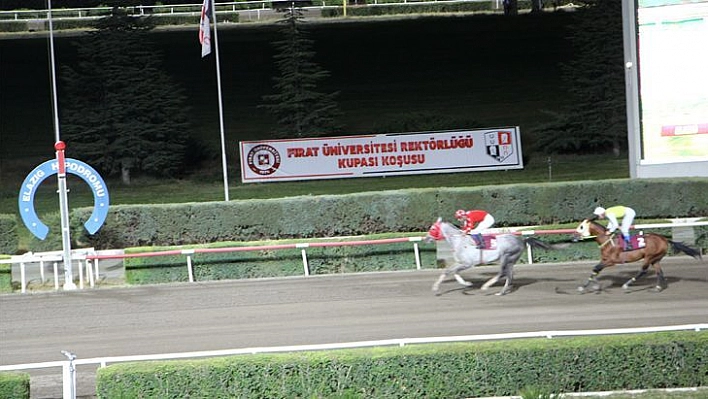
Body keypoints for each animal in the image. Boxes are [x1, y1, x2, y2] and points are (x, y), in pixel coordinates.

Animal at [576, 219, 704, 294]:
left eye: (581, 227)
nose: (574, 236)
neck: (607, 241)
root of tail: (664, 239)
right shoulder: (604, 259)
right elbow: (595, 270)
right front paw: (588, 286)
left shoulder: (611, 261)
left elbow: (596, 268)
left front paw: (594, 286)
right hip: (656, 259)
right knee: (659, 272)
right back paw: (658, 288)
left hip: (649, 257)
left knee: (643, 271)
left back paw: (626, 285)